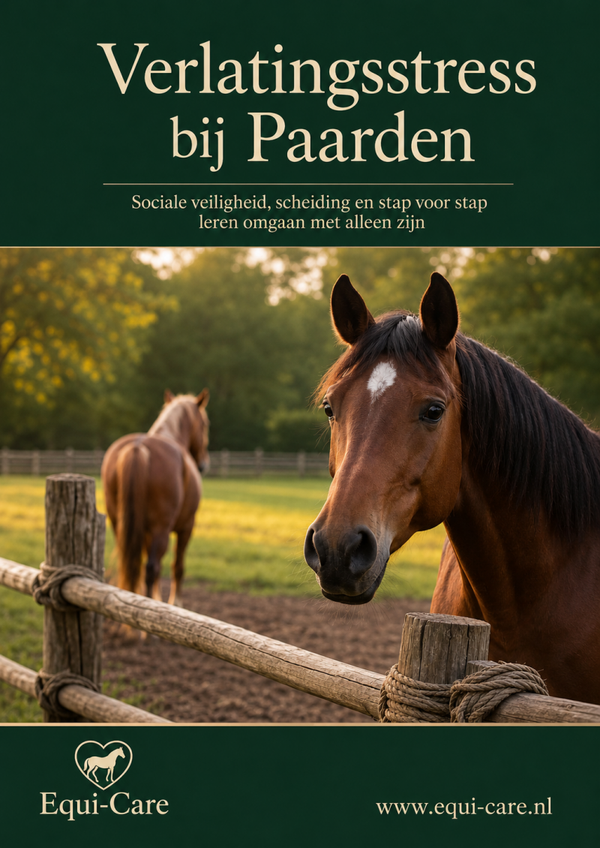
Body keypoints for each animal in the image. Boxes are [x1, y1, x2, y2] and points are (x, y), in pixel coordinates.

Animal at [102, 390, 210, 606]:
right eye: (205, 424)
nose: (203, 464)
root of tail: (137, 448)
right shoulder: (186, 527)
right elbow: (177, 566)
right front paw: (175, 603)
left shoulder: (144, 531)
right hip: (162, 529)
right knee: (151, 568)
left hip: (119, 524)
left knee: (133, 563)